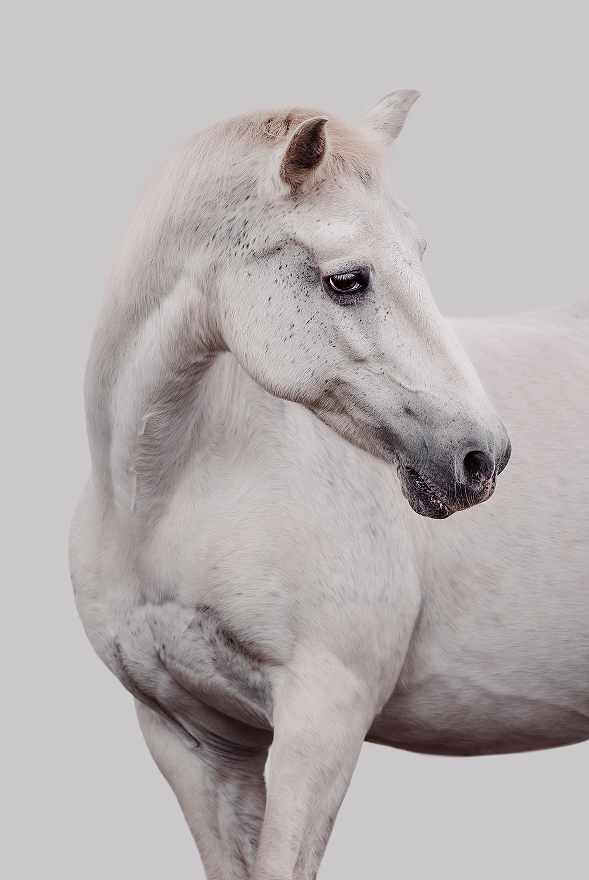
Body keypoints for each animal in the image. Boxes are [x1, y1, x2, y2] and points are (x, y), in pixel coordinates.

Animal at [70, 90, 589, 880]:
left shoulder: (321, 721)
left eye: (418, 252)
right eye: (347, 280)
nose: (481, 458)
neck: (163, 503)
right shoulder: (189, 738)